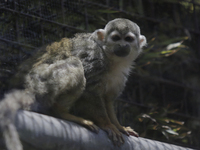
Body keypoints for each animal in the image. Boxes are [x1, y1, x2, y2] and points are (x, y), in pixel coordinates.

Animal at [0, 18, 147, 149]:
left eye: (128, 39)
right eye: (116, 38)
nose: (122, 45)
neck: (110, 58)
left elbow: (108, 99)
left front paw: (119, 126)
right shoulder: (95, 59)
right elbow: (89, 91)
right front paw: (107, 125)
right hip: (40, 82)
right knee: (75, 64)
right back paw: (61, 112)